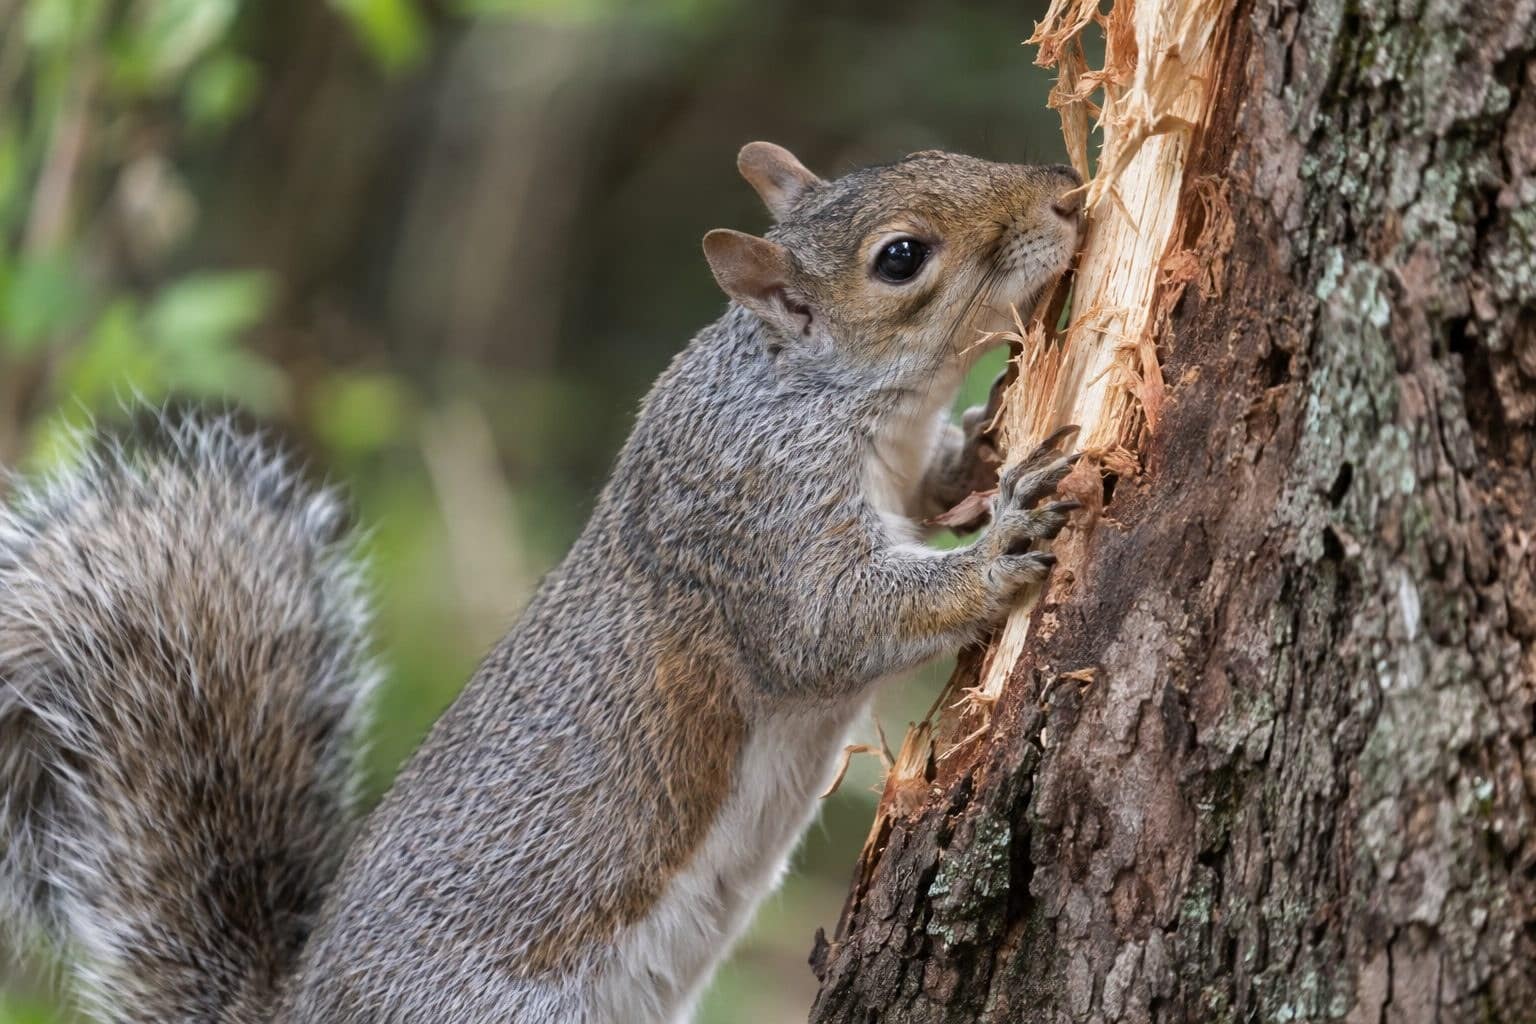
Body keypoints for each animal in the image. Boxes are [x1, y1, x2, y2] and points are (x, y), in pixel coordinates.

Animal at [0, 143, 1083, 1023]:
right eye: (901, 257)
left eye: (934, 155)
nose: (1067, 194)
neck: (807, 390)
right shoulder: (750, 519)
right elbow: (832, 625)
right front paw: (1002, 541)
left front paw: (980, 448)